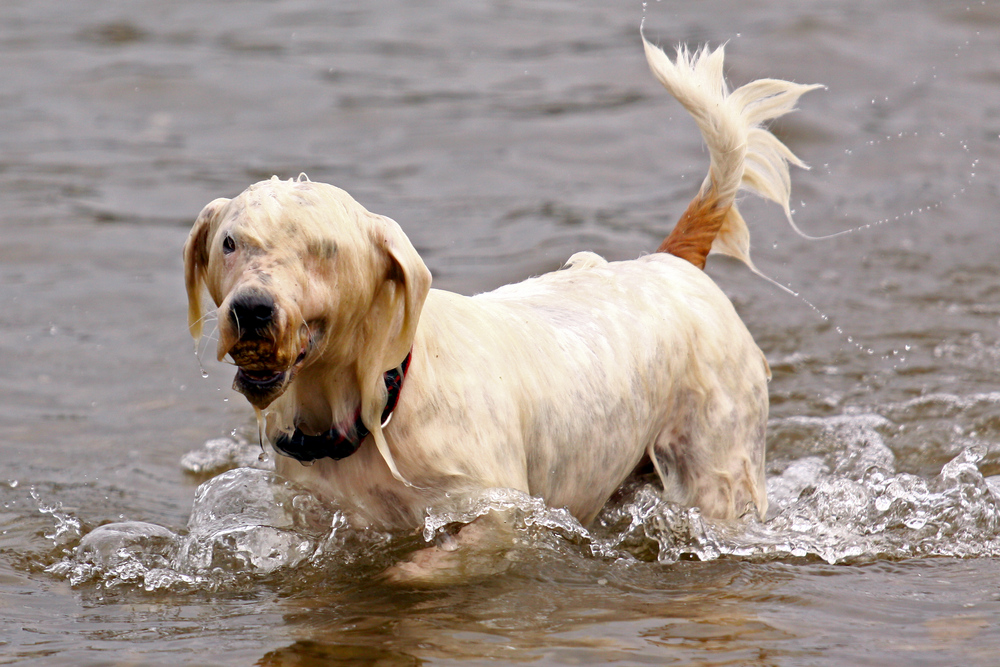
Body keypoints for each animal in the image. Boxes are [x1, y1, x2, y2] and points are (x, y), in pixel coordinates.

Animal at [182, 35, 820, 568]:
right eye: (230, 243)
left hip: (718, 468)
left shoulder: (501, 514)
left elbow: (425, 565)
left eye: (324, 250)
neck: (379, 400)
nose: (252, 309)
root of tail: (670, 261)